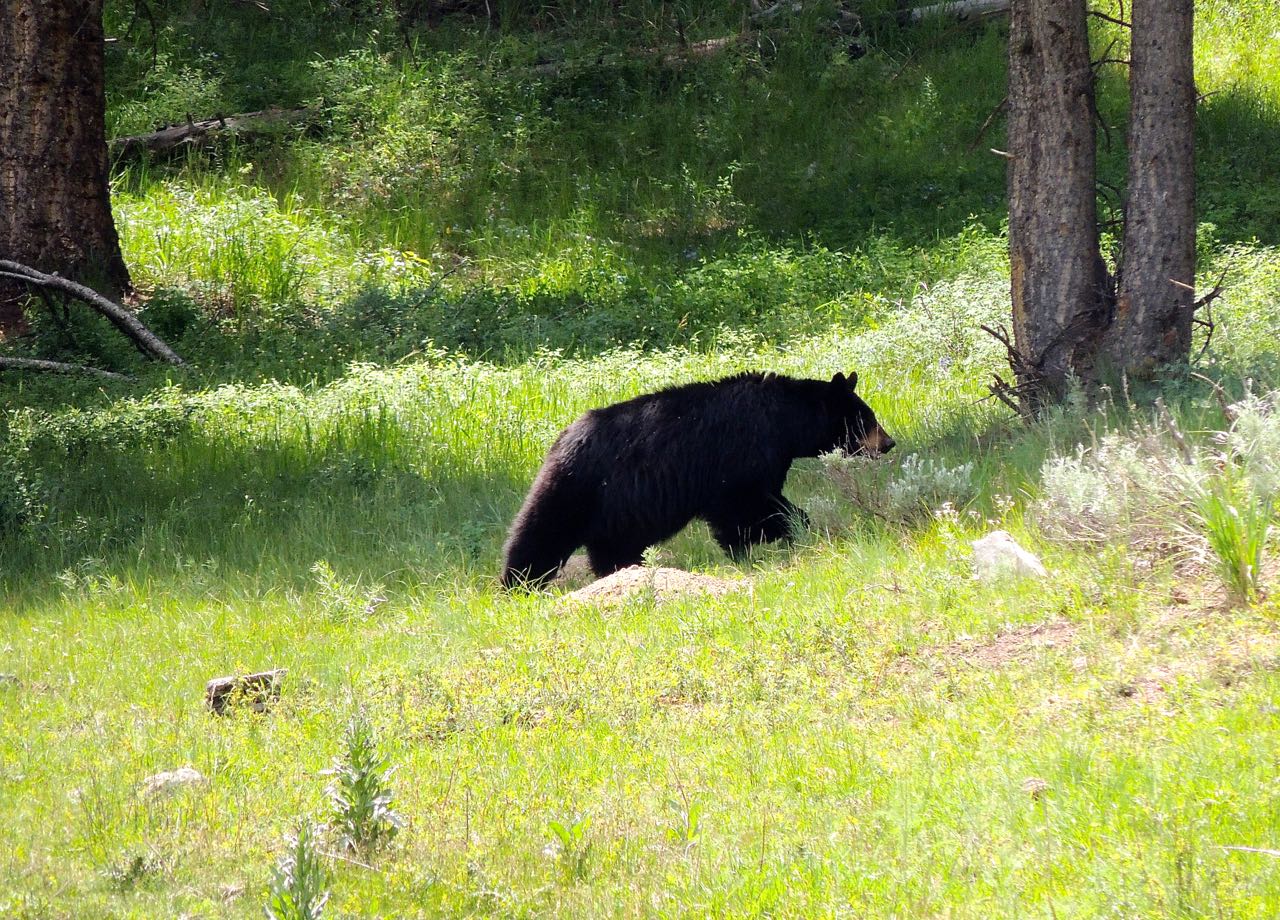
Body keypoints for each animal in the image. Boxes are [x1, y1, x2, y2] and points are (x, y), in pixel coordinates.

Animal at [496, 368, 890, 591]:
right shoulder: (742, 457)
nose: (889, 443)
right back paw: (517, 583)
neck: (784, 422)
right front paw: (768, 539)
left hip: (615, 513)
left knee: (612, 547)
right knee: (540, 532)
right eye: (867, 418)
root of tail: (560, 440)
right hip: (575, 487)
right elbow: (747, 507)